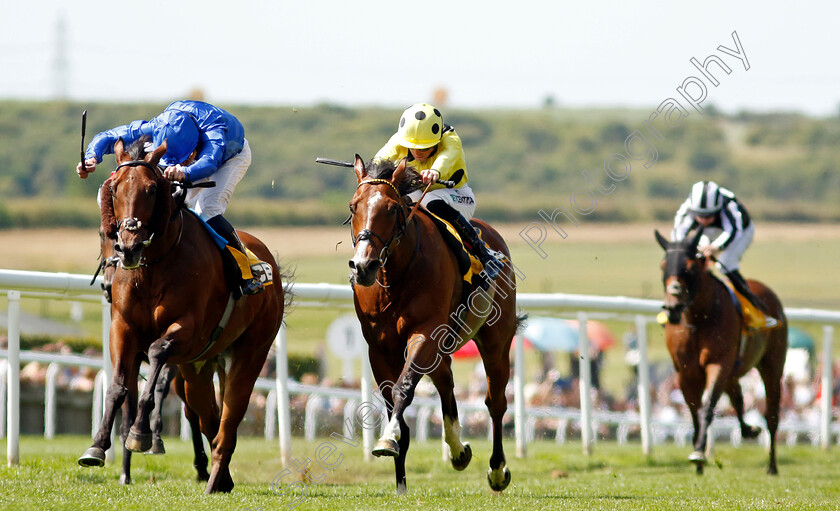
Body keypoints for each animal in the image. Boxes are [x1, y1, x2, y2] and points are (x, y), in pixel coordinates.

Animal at [76, 138, 286, 494]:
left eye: (150, 190)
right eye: (114, 189)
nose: (129, 247)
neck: (153, 266)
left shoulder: (187, 328)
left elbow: (158, 356)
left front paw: (141, 434)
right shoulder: (123, 328)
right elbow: (118, 387)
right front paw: (98, 447)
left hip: (250, 350)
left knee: (227, 415)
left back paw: (213, 476)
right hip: (198, 367)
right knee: (206, 415)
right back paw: (219, 475)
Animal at [346, 156, 520, 496]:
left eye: (392, 209)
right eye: (353, 206)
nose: (363, 266)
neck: (394, 277)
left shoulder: (424, 333)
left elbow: (403, 388)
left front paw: (387, 438)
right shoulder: (379, 347)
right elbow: (392, 402)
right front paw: (400, 482)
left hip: (495, 340)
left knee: (495, 402)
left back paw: (496, 470)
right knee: (446, 383)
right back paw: (458, 451)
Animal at [656, 231, 788, 476]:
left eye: (691, 267)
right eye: (663, 266)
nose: (672, 307)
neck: (699, 318)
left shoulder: (718, 364)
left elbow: (707, 408)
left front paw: (699, 454)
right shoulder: (686, 373)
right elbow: (694, 411)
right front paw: (698, 457)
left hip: (771, 366)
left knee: (772, 414)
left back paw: (772, 466)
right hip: (734, 370)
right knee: (738, 398)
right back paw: (749, 430)